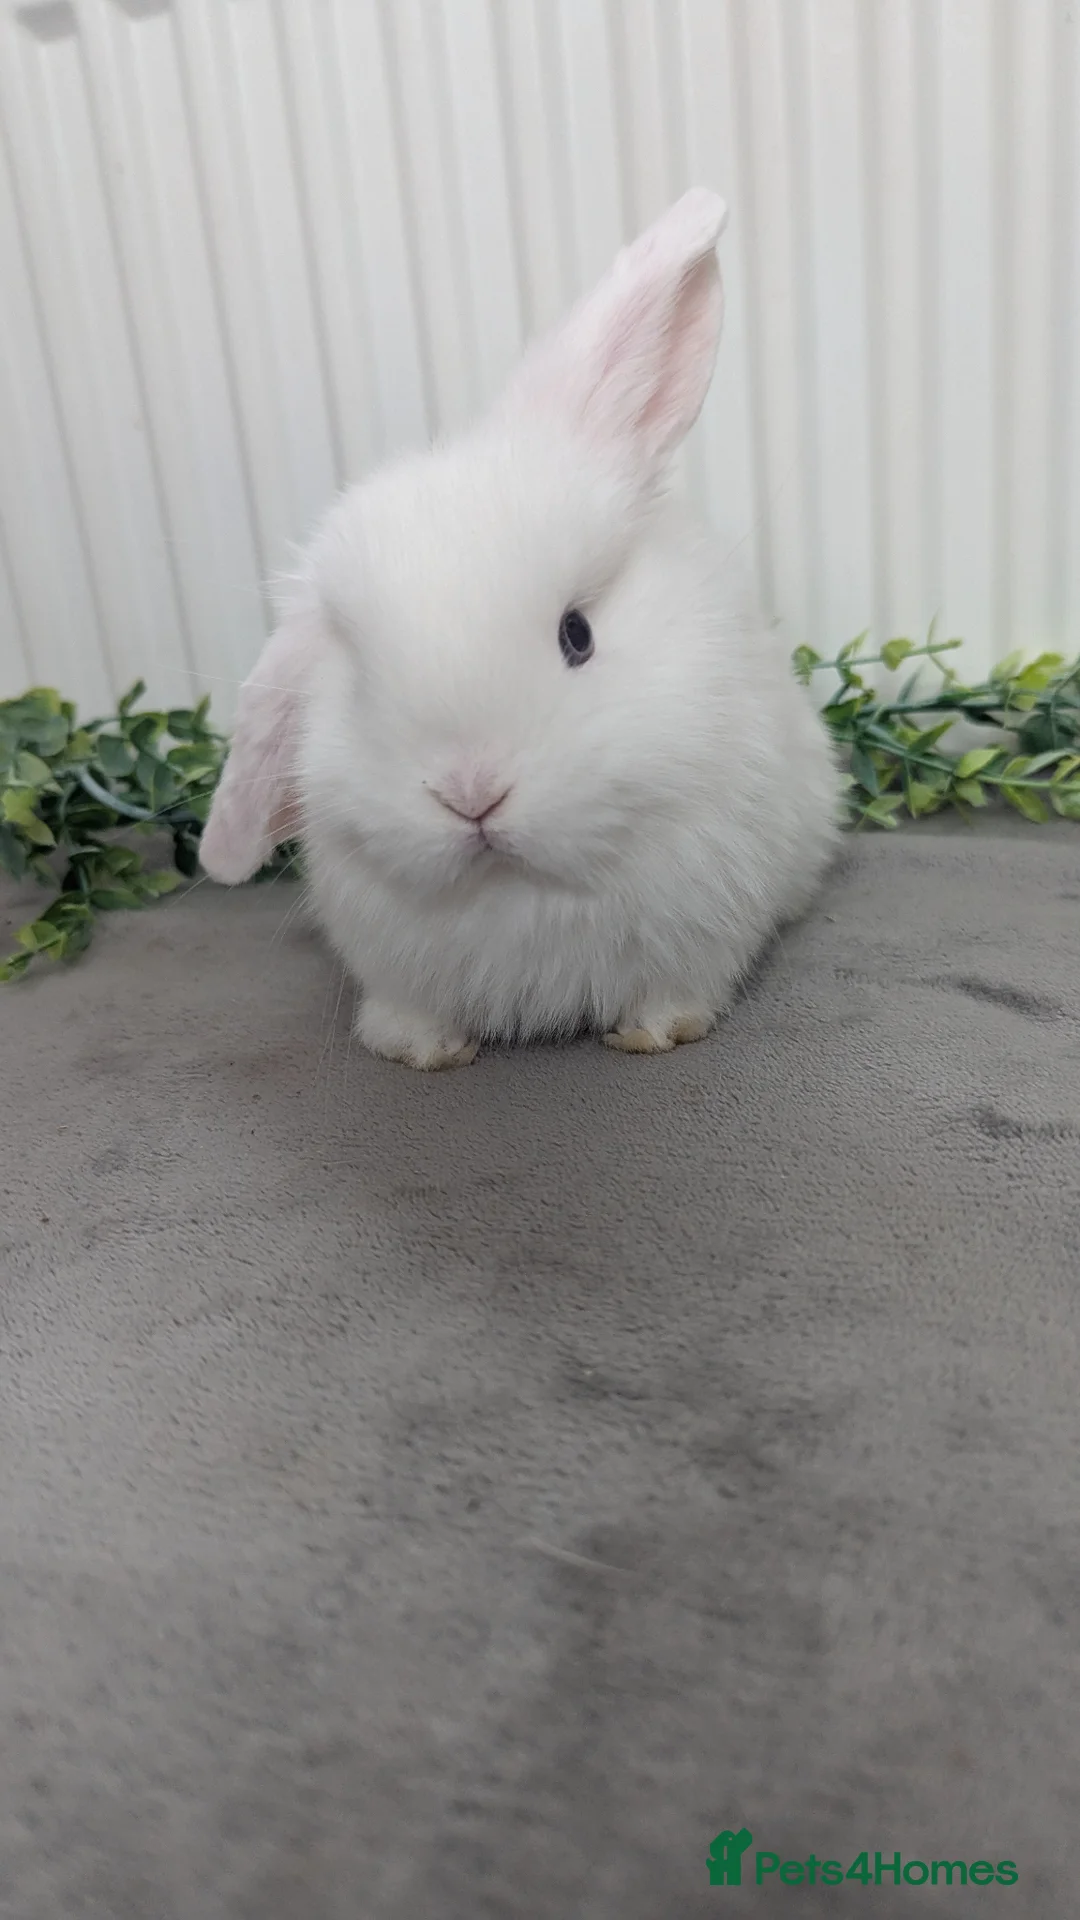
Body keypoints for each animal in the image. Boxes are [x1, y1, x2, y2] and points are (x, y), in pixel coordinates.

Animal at [200, 189, 839, 1069]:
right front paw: (419, 1049)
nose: (471, 795)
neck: (518, 890)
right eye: (357, 680)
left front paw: (657, 1032)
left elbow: (678, 991)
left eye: (578, 635)